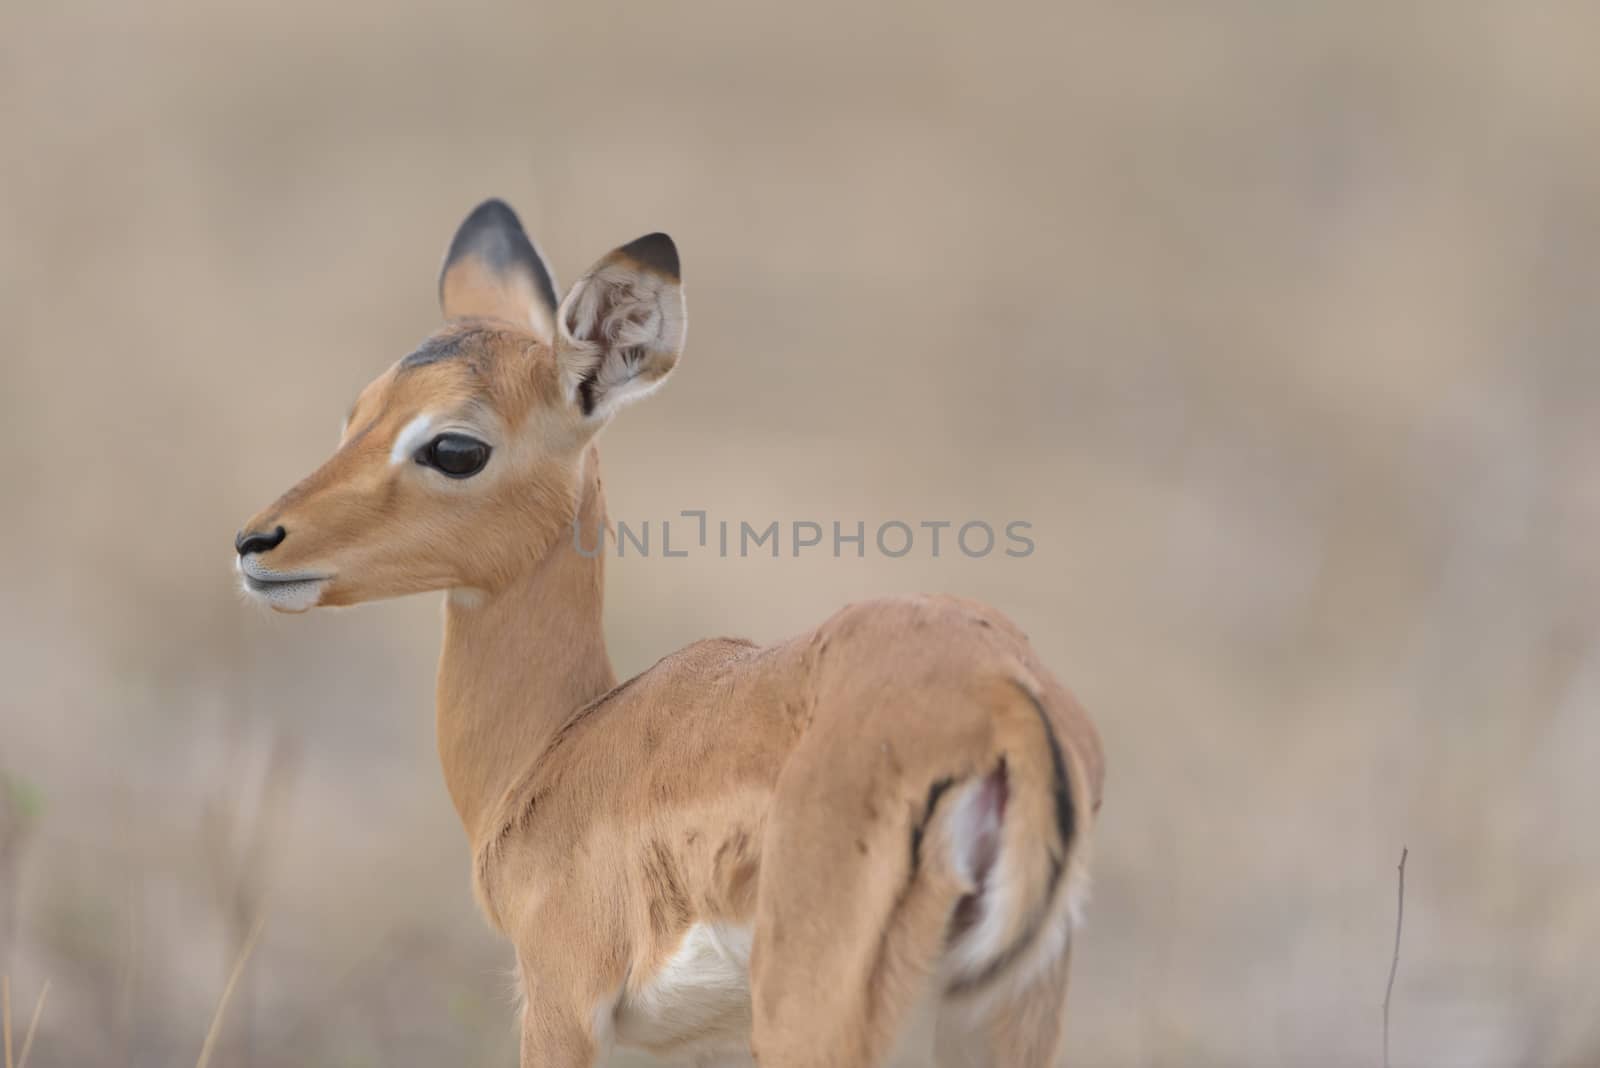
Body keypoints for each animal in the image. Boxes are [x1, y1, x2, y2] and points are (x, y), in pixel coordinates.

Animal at [236, 202, 1107, 1068]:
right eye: (359, 412)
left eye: (454, 446)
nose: (256, 543)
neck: (560, 744)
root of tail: (1002, 699)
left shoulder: (559, 1004)